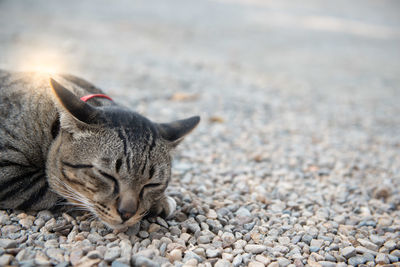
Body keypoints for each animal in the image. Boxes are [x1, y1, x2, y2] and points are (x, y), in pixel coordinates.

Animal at [0, 70, 200, 230]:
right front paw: (161, 203)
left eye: (152, 184)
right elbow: (58, 192)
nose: (126, 213)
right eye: (106, 175)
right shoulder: (10, 175)